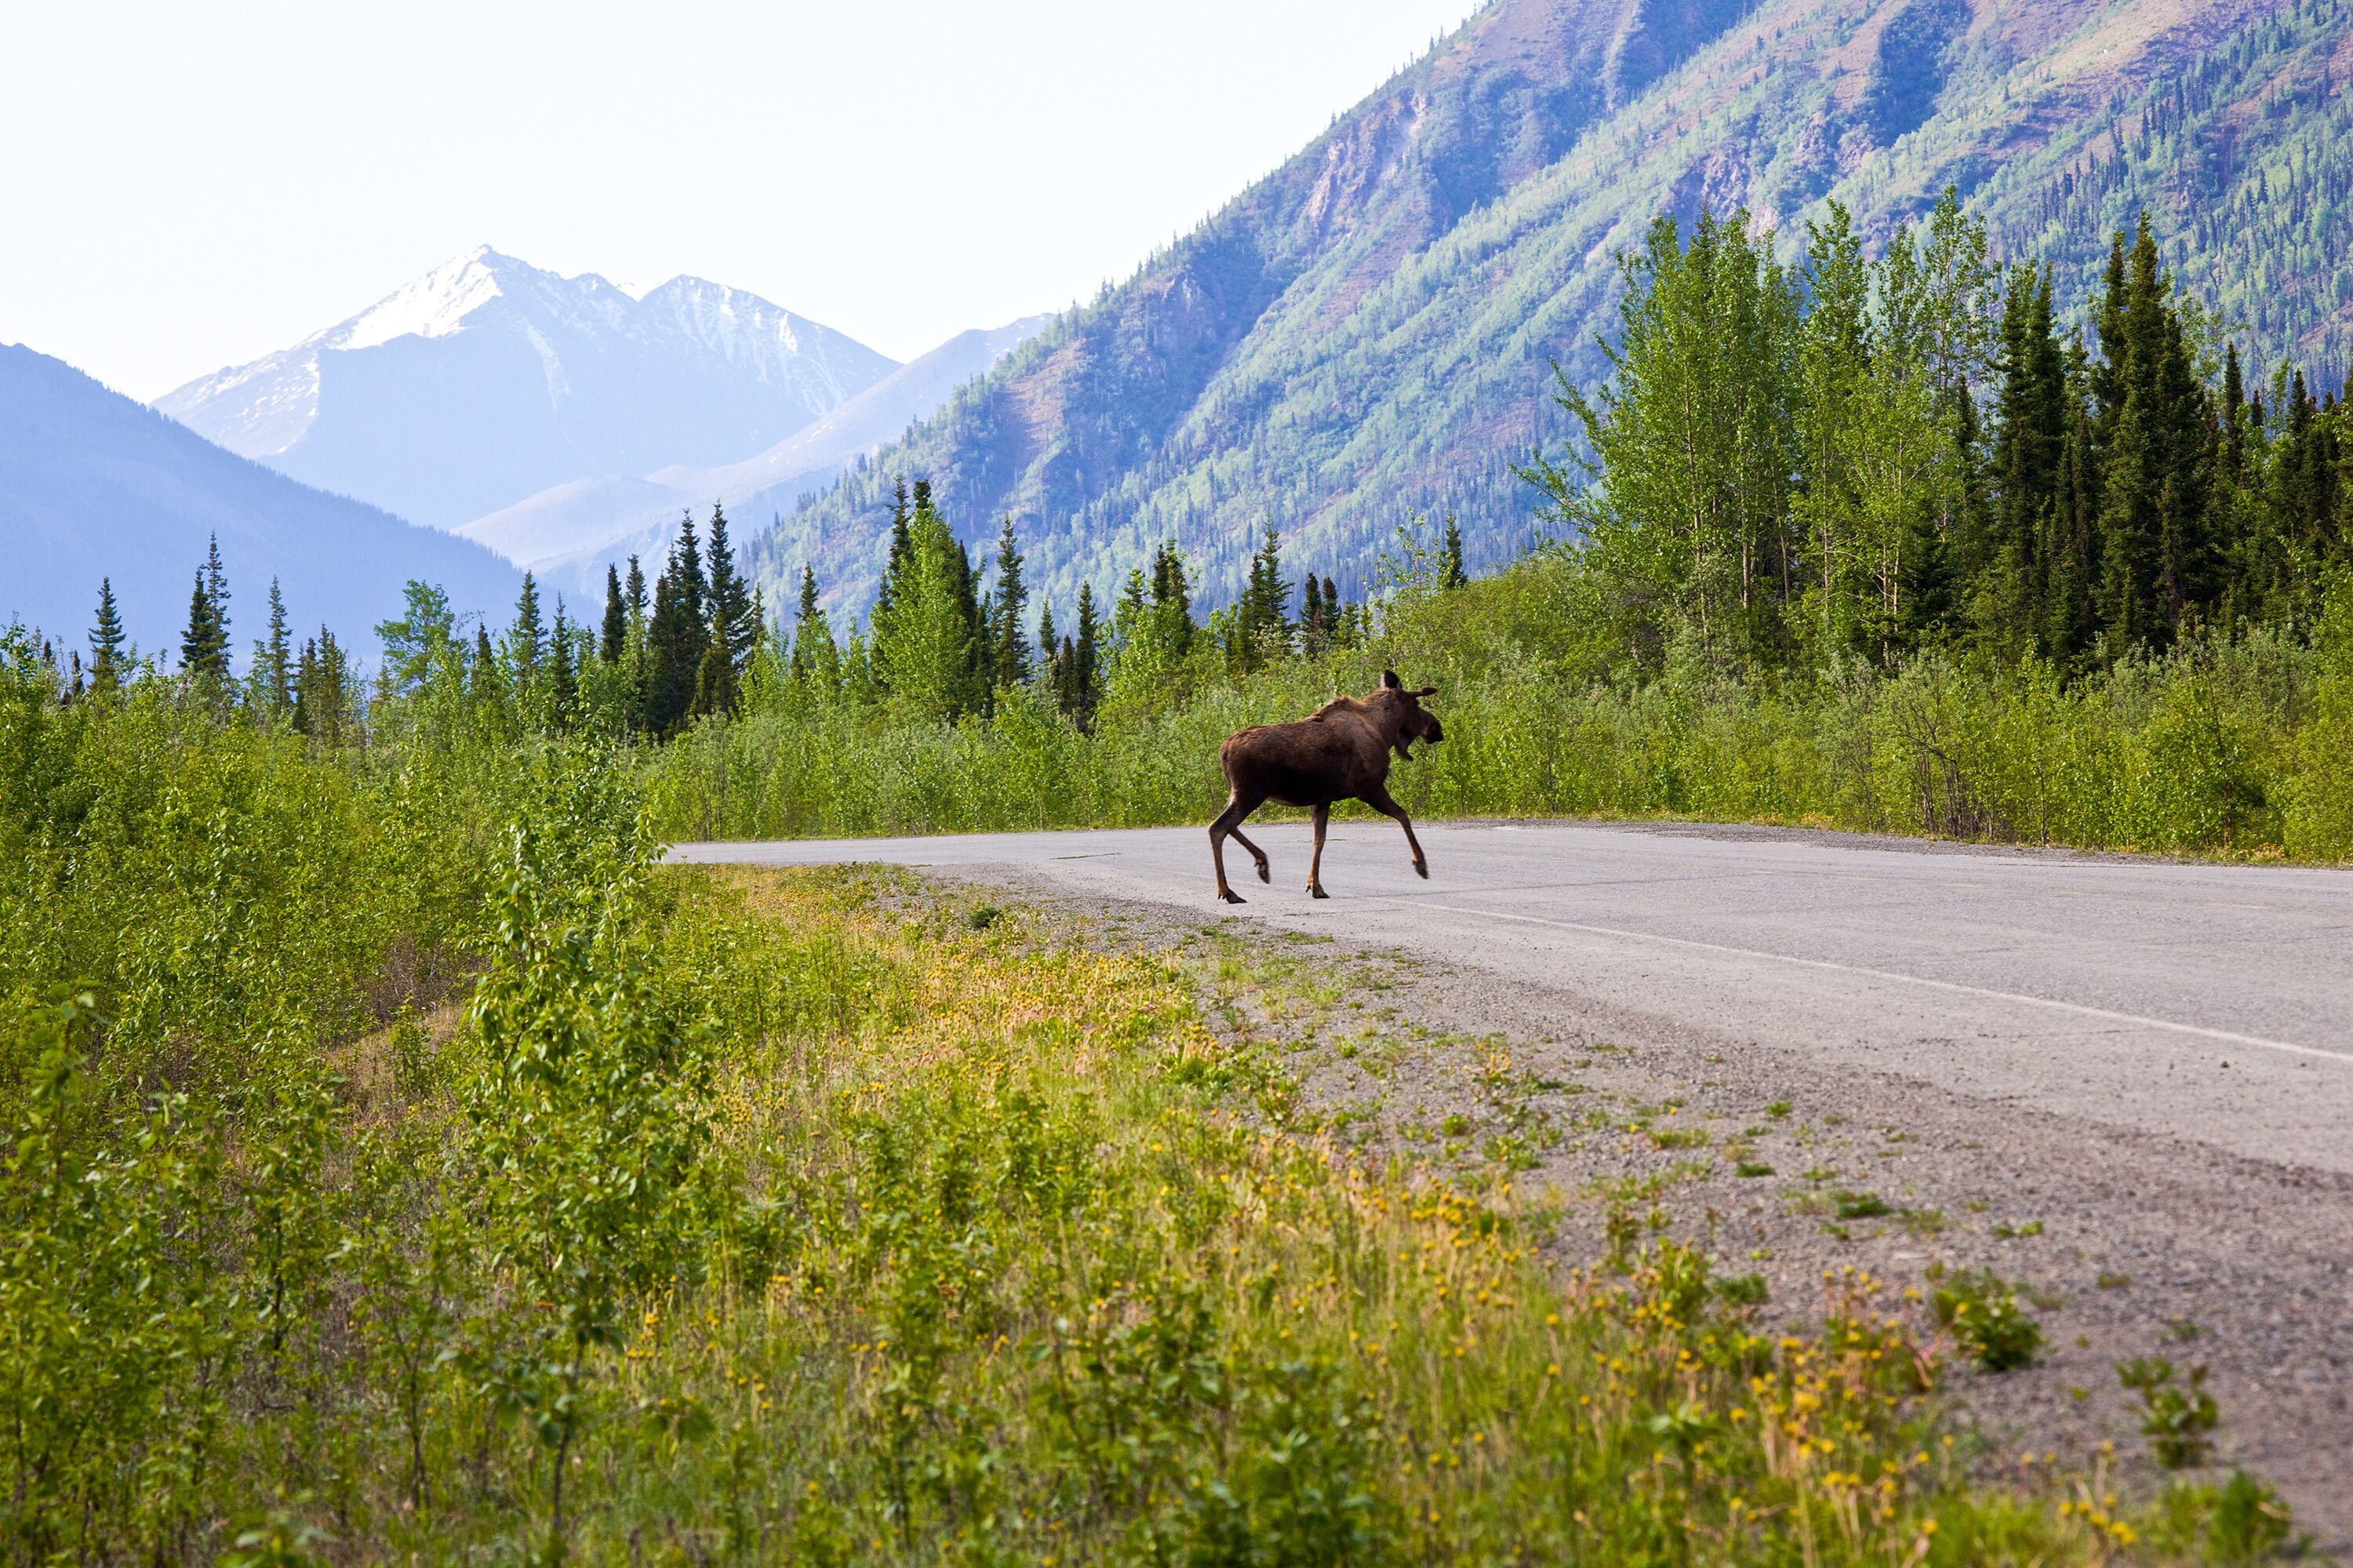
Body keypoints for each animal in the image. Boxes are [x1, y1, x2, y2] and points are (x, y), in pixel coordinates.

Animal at [1224, 664, 1440, 899]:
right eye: (1417, 704)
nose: (1437, 728)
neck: (1385, 733)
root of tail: (1224, 749)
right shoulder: (1369, 787)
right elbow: (1403, 815)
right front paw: (1421, 864)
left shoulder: (1323, 799)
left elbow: (1319, 840)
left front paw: (1315, 885)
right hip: (1250, 793)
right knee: (1219, 827)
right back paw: (1230, 889)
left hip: (1240, 793)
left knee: (1225, 826)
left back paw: (1255, 867)